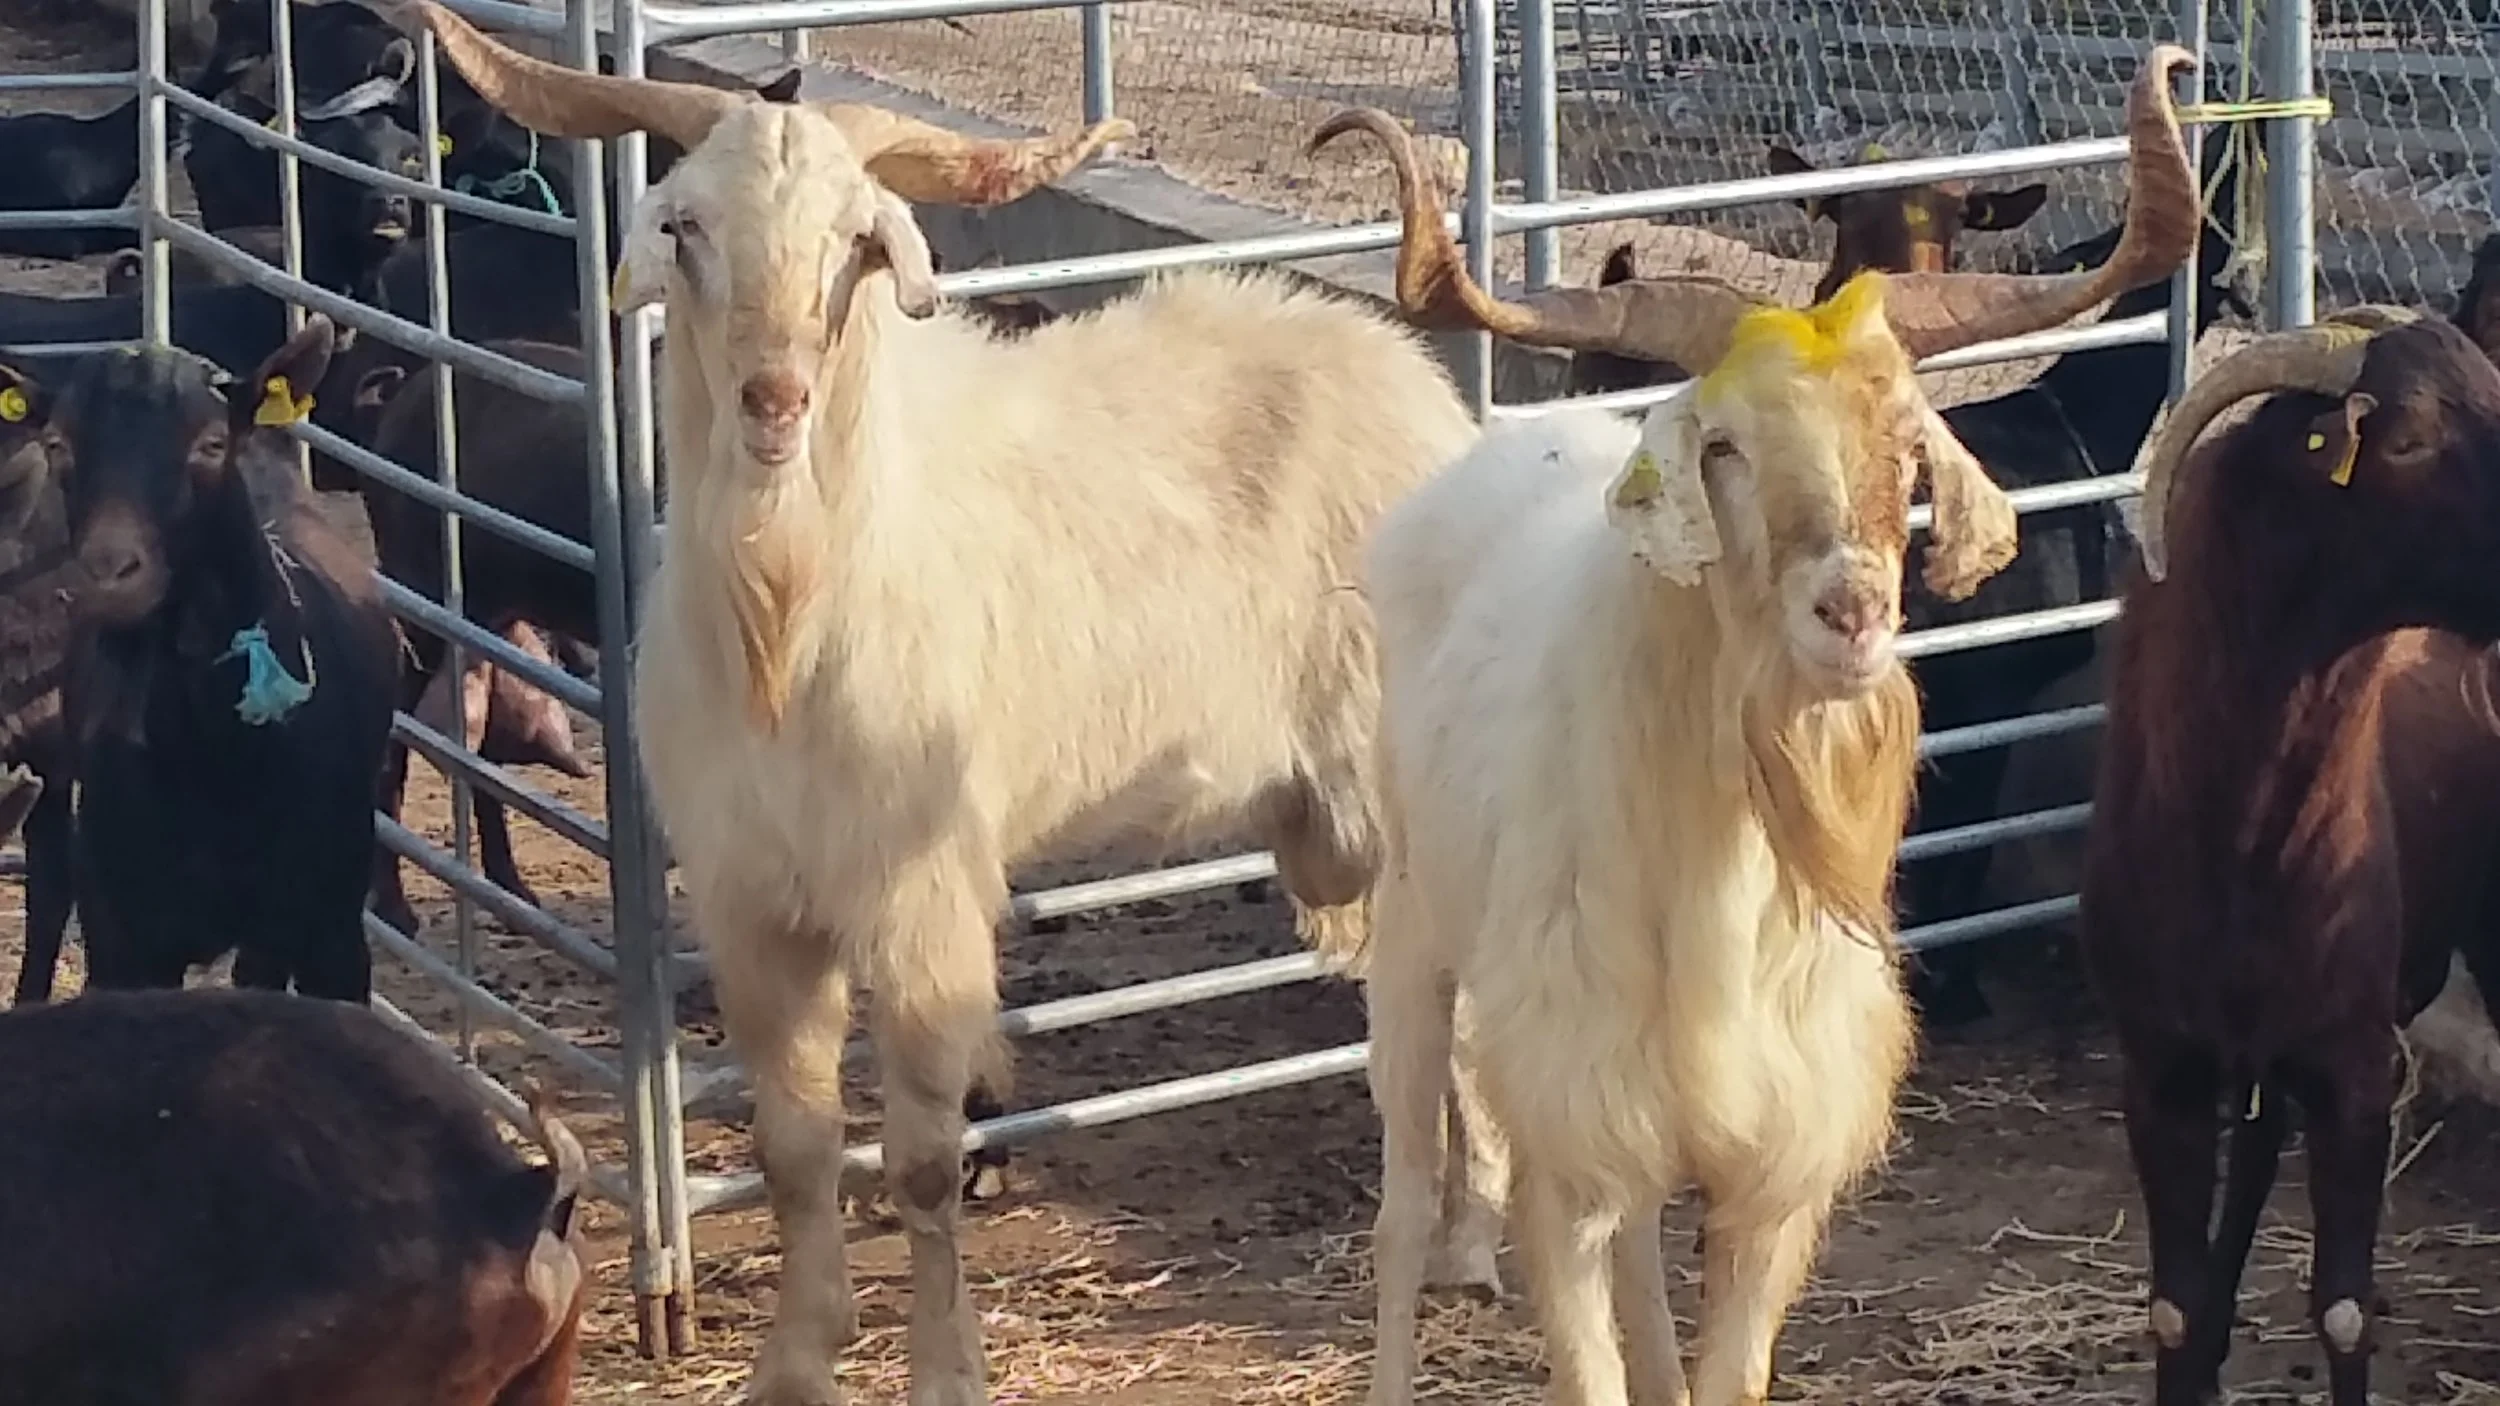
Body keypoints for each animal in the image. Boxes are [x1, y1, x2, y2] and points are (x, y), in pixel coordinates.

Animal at [409, 5, 1477, 1400]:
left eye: (860, 241)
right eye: (686, 226)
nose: (774, 400)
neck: (790, 619)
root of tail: (1411, 375)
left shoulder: (918, 898)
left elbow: (918, 1162)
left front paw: (947, 1367)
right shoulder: (752, 903)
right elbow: (797, 1146)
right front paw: (798, 1361)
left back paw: (1475, 1241)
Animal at [2082, 308, 2500, 1406]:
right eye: (2405, 439)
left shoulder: (2355, 1064)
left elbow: (2345, 1309)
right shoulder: (2163, 1066)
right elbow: (2174, 1306)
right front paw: (2197, 1355)